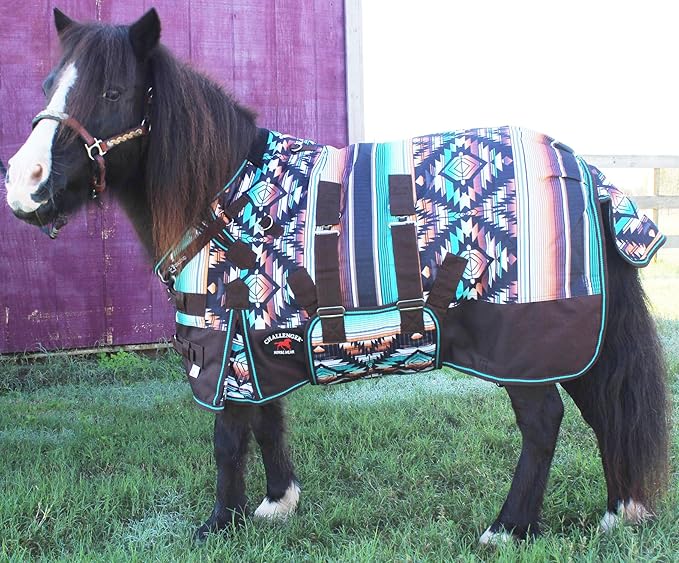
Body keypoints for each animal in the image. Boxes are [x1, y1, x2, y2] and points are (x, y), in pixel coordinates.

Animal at [4, 8, 669, 543]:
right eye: (48, 86)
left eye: (113, 91)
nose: (23, 184)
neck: (224, 199)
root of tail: (581, 168)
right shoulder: (254, 344)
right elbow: (266, 422)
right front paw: (277, 504)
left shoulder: (222, 344)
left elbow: (227, 439)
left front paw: (220, 523)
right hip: (571, 342)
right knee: (604, 408)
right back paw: (619, 511)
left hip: (525, 342)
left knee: (543, 422)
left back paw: (509, 528)